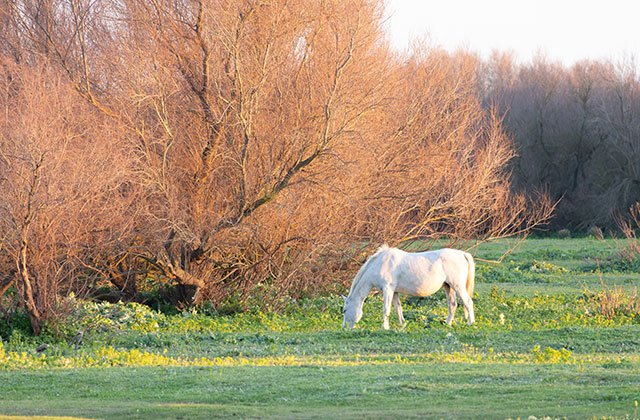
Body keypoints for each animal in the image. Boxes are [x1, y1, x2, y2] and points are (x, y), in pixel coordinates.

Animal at [344, 244, 476, 330]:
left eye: (344, 310)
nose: (344, 328)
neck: (380, 263)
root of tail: (462, 254)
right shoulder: (394, 291)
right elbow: (398, 308)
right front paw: (402, 324)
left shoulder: (387, 289)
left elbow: (386, 309)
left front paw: (385, 327)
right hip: (448, 287)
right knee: (452, 305)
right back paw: (447, 324)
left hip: (457, 286)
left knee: (468, 303)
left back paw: (471, 323)